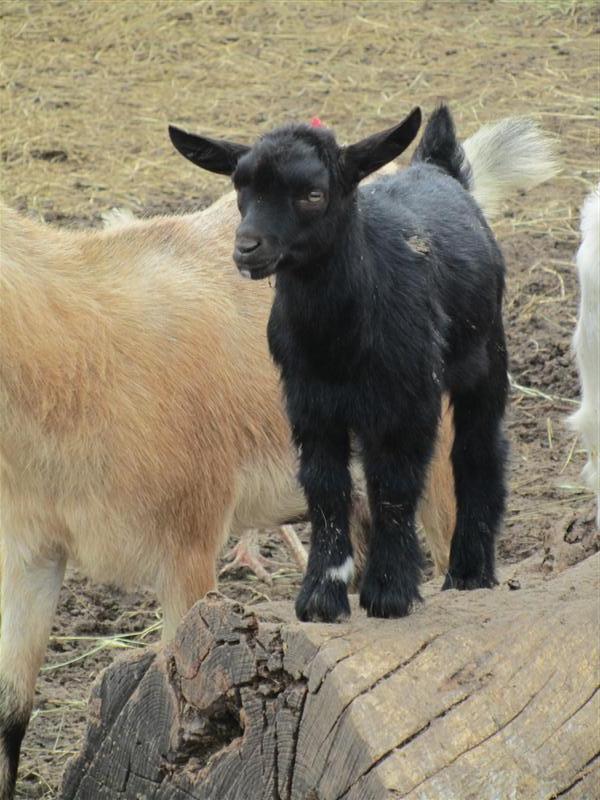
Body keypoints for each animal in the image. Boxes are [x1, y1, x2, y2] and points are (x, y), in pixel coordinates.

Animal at [169, 104, 558, 623]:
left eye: (313, 194)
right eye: (240, 188)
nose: (246, 248)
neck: (337, 342)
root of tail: (438, 168)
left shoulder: (405, 398)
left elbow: (393, 483)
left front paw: (390, 593)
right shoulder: (308, 401)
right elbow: (325, 487)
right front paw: (321, 597)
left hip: (486, 355)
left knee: (478, 449)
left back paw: (470, 572)